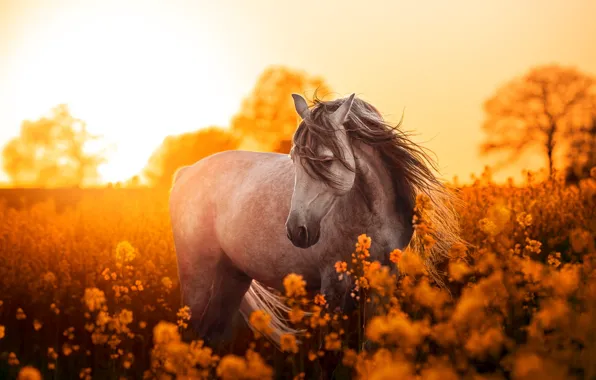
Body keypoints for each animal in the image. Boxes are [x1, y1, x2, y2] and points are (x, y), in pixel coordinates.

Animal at [168, 93, 460, 348]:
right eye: (294, 158)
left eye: (327, 160)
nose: (297, 231)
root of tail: (186, 172)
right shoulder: (334, 283)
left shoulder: (383, 279)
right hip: (197, 278)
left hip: (232, 277)